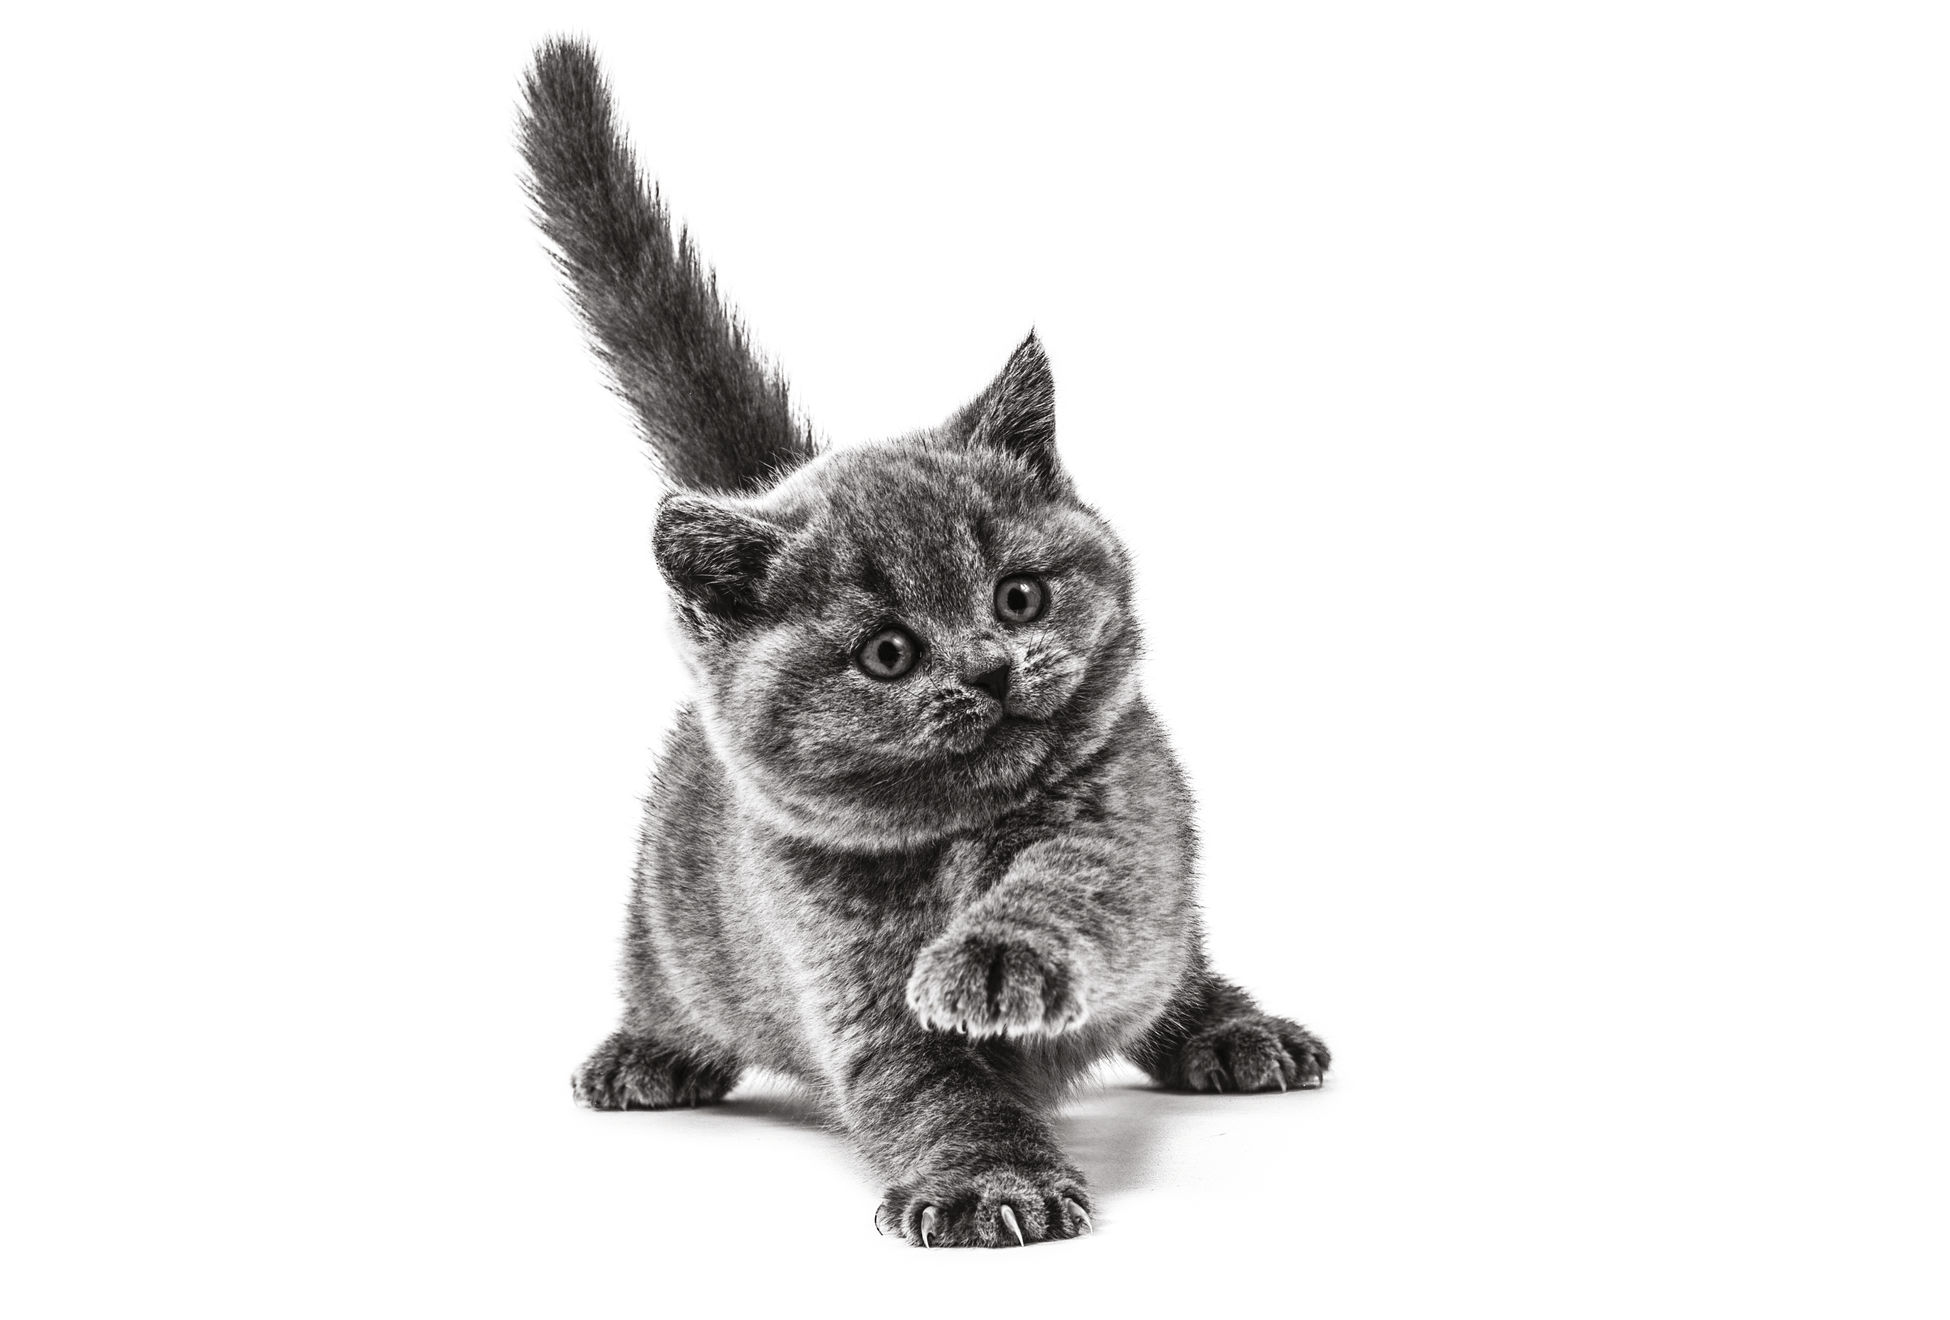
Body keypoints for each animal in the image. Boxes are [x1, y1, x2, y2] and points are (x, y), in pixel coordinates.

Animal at [526, 36, 1333, 1240]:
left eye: (1019, 598)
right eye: (889, 654)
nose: (992, 670)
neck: (954, 844)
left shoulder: (1124, 823)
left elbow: (1079, 885)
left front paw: (994, 960)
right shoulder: (845, 983)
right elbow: (935, 1089)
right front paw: (989, 1180)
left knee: (1175, 966)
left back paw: (1238, 1031)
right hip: (670, 923)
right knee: (663, 976)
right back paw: (646, 1053)